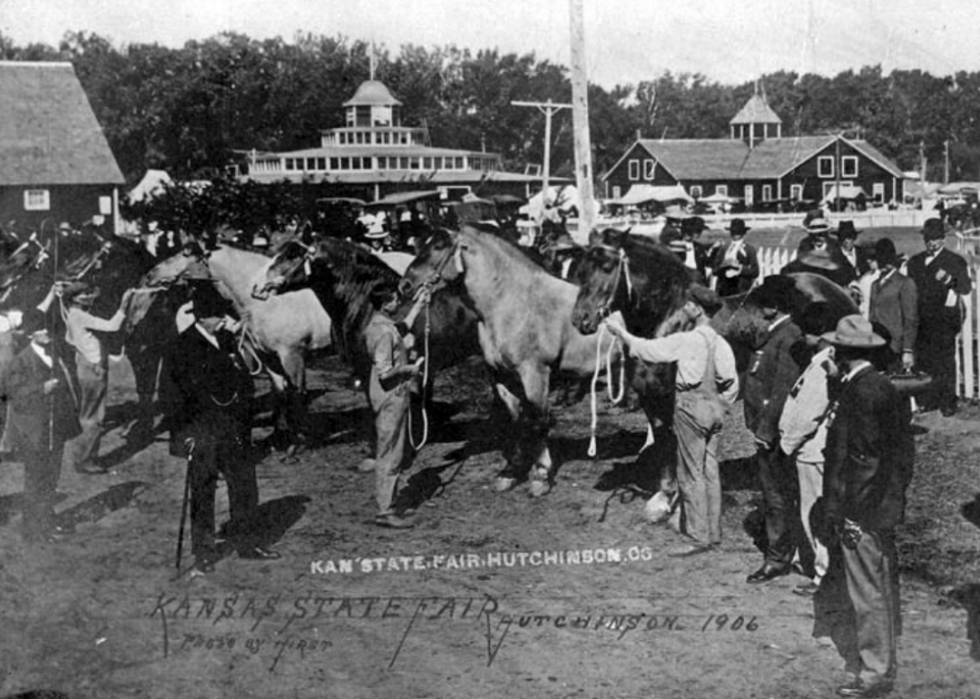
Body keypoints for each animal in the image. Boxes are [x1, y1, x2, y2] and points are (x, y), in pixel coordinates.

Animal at [140, 243, 334, 446]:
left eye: (184, 255)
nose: (150, 275)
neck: (270, 302)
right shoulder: (269, 357)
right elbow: (279, 393)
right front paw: (279, 438)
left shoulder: (293, 356)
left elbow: (298, 394)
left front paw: (299, 442)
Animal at [396, 227, 620, 494]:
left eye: (439, 246)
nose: (404, 285)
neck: (514, 303)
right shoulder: (501, 376)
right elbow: (518, 420)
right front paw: (511, 471)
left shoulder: (535, 373)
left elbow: (538, 421)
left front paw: (541, 475)